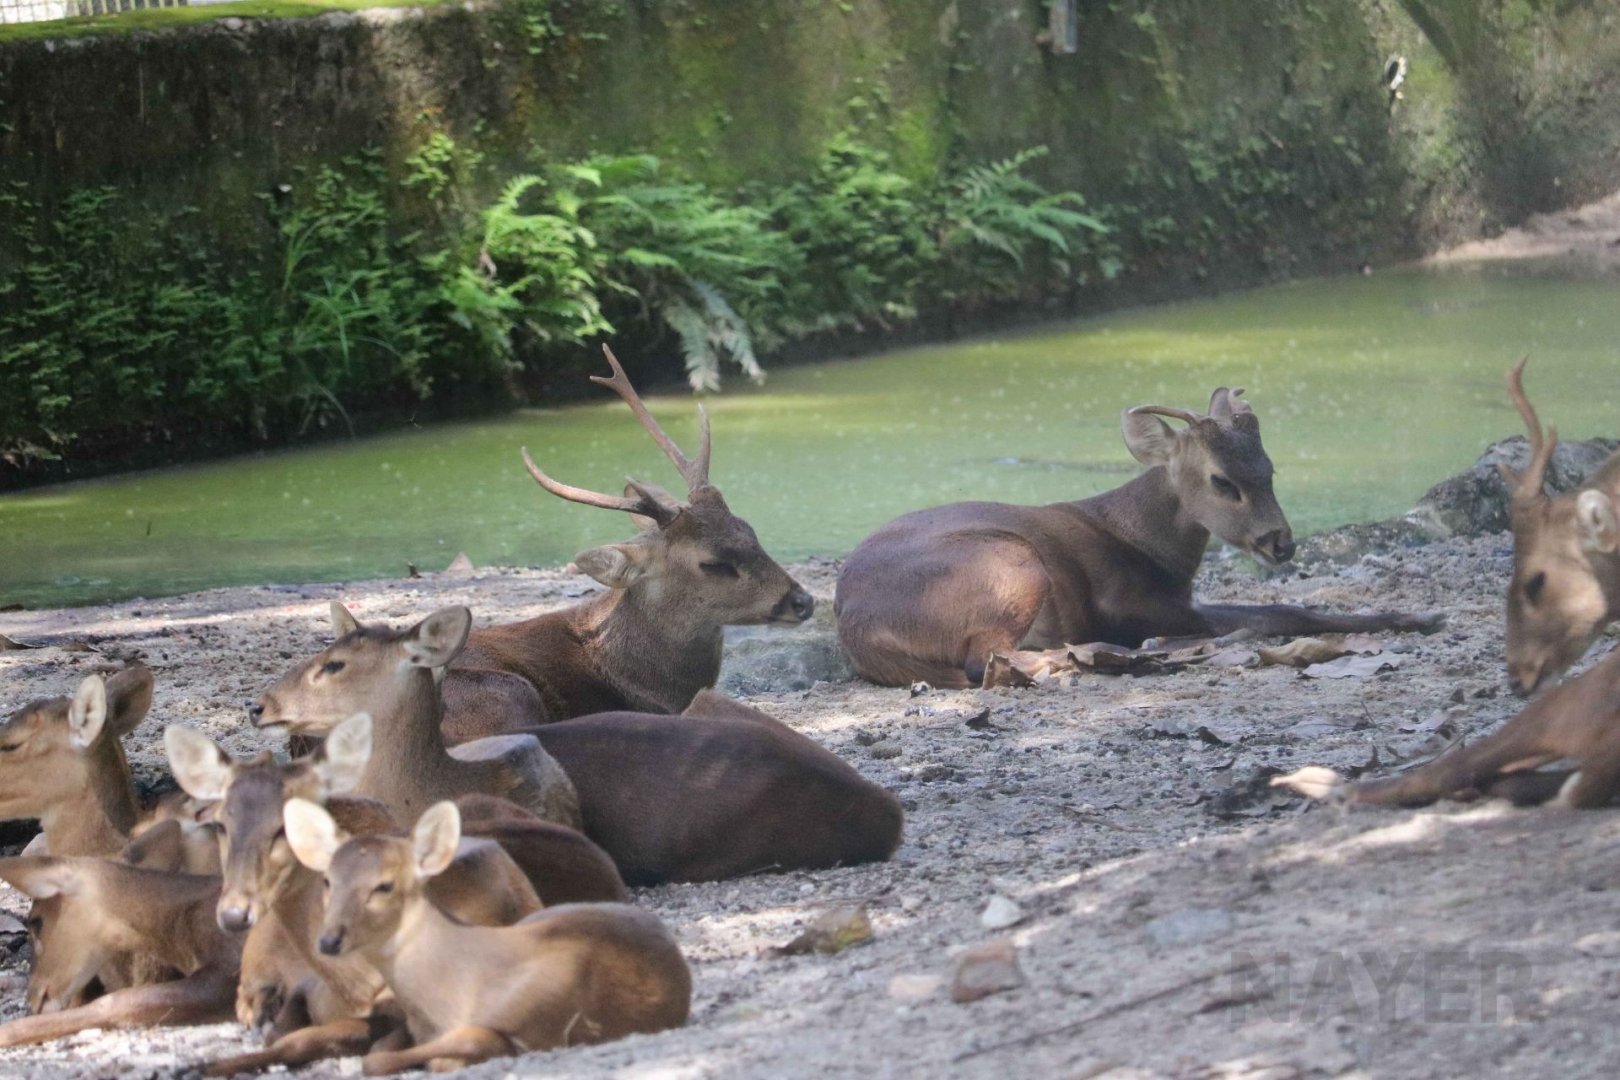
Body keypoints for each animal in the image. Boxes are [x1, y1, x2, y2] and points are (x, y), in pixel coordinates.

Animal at [835, 387, 1444, 688]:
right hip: (1011, 563)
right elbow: (1287, 610)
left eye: (1271, 468)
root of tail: (859, 627)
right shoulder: (1133, 603)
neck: (1153, 553)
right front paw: (1422, 616)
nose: (1281, 543)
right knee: (985, 660)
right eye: (1222, 480)